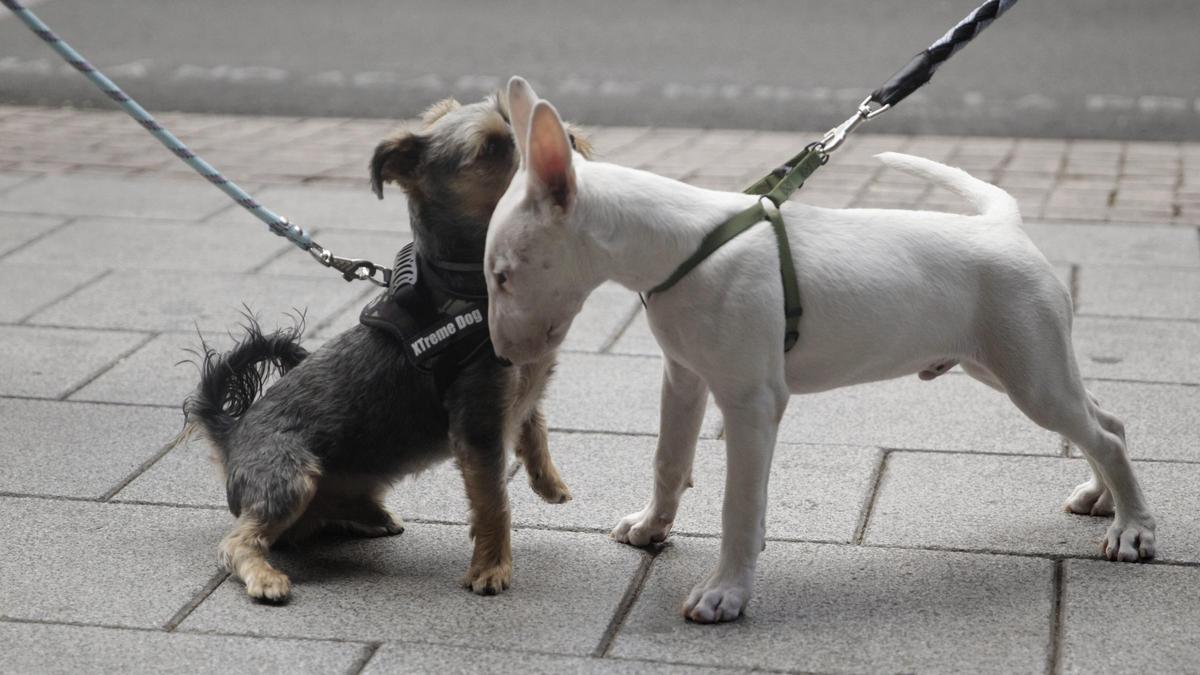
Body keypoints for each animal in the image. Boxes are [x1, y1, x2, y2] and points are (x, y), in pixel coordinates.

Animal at [181, 93, 590, 598]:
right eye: (492, 147)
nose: (567, 140)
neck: (472, 286)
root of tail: (231, 433)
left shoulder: (522, 389)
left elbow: (536, 428)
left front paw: (549, 483)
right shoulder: (478, 424)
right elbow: (494, 500)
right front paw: (490, 568)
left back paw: (368, 516)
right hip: (290, 475)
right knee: (240, 540)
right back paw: (265, 577)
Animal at [482, 77, 1156, 619]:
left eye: (503, 276)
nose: (503, 357)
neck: (682, 247)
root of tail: (1003, 224)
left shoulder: (752, 402)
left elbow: (738, 504)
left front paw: (724, 595)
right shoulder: (683, 376)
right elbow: (669, 461)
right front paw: (651, 529)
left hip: (1027, 371)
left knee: (1105, 433)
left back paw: (1134, 531)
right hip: (1005, 362)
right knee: (1105, 418)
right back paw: (1102, 499)